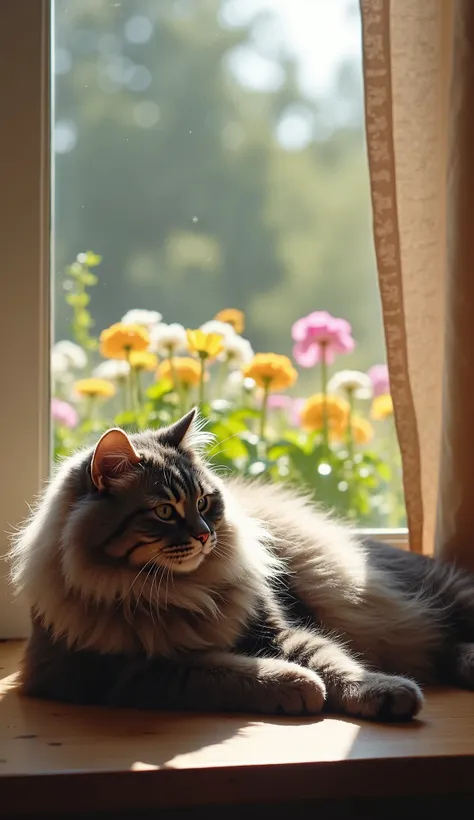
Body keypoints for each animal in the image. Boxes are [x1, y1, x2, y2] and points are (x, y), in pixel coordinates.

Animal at [9, 410, 474, 716]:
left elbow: (335, 662)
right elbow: (220, 670)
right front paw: (297, 685)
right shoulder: (121, 674)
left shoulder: (275, 627)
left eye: (203, 502)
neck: (173, 592)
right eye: (164, 512)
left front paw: (379, 691)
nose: (204, 535)